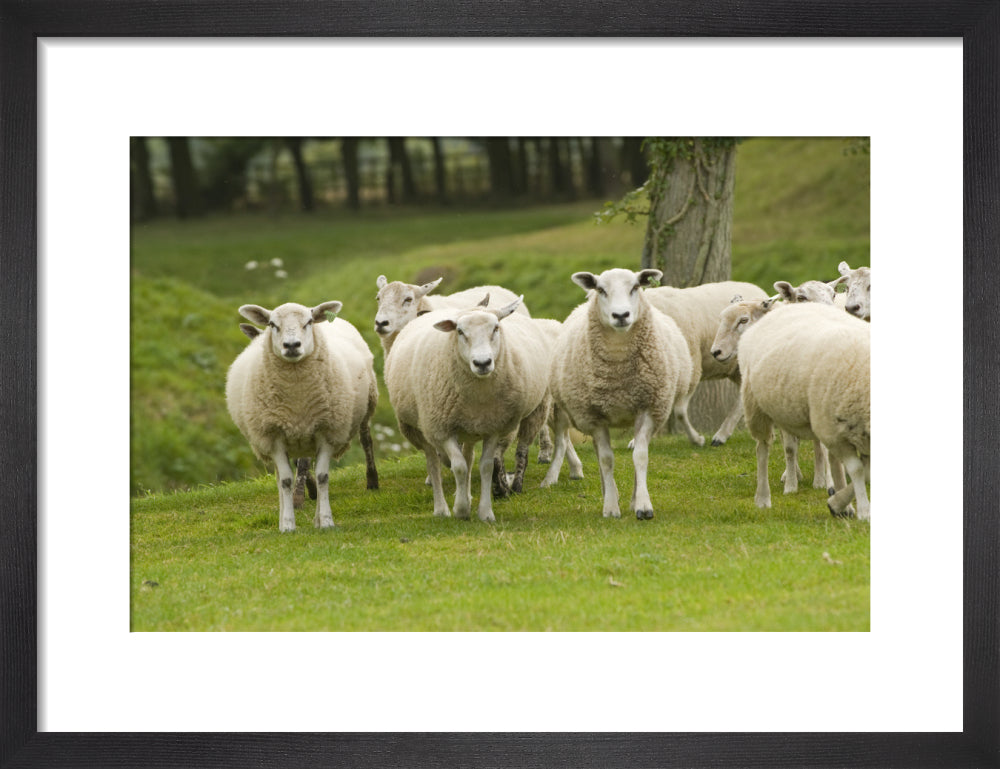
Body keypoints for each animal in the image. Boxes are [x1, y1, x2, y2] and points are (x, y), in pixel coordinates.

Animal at [225, 301, 379, 532]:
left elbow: (323, 476)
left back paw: (371, 482)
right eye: (272, 324)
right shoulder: (275, 436)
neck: (297, 399)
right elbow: (286, 481)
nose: (291, 345)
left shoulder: (324, 430)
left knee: (366, 440)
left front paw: (326, 520)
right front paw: (288, 524)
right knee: (281, 478)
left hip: (366, 404)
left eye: (308, 322)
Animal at [384, 296, 550, 521]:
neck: (478, 396)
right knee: (433, 463)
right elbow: (459, 467)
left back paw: (469, 495)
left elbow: (486, 466)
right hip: (423, 427)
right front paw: (461, 509)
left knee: (469, 457)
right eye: (460, 331)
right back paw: (441, 509)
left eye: (496, 328)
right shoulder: (442, 429)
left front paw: (485, 512)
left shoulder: (493, 427)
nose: (482, 363)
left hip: (470, 427)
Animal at [541, 268, 693, 520]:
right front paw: (611, 506)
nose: (621, 315)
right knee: (598, 454)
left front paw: (643, 505)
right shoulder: (594, 417)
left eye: (635, 287)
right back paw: (607, 492)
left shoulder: (648, 408)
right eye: (601, 289)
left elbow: (640, 456)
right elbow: (606, 459)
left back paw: (631, 499)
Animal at [716, 301, 870, 519]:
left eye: (743, 320)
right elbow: (857, 469)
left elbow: (862, 469)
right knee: (763, 448)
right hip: (759, 407)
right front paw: (864, 510)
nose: (716, 352)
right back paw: (763, 498)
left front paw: (836, 501)